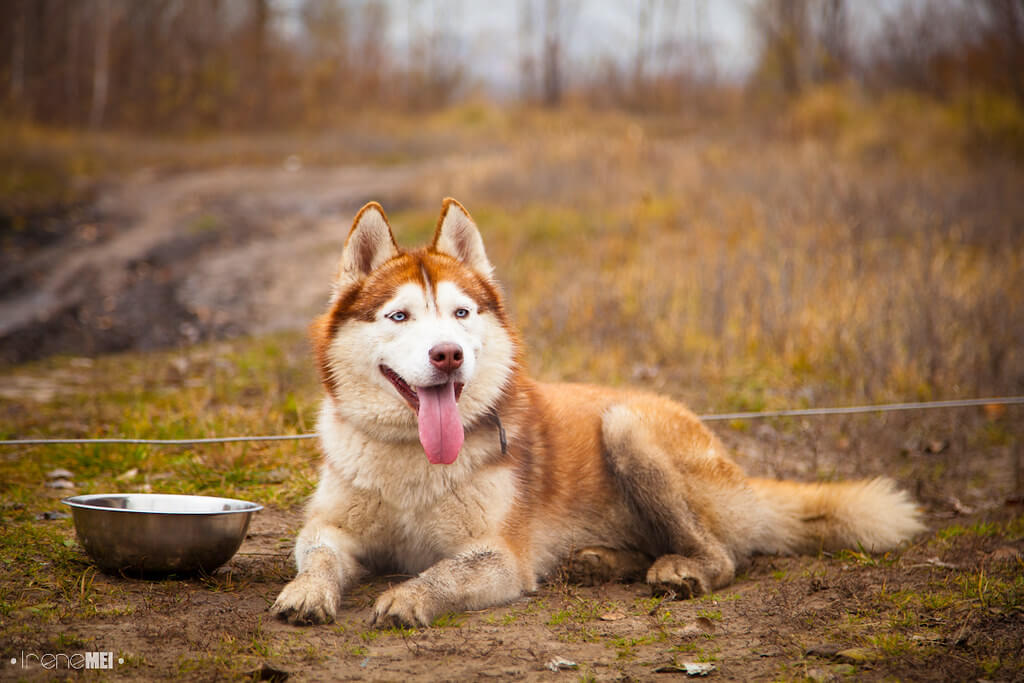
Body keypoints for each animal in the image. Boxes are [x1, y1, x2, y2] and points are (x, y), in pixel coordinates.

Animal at [268, 194, 925, 626]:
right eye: (399, 316)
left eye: (460, 313)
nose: (448, 355)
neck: (411, 460)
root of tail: (740, 471)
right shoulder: (330, 526)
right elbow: (318, 556)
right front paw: (308, 593)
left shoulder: (500, 557)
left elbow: (442, 572)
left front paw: (408, 596)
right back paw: (599, 561)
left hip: (625, 425)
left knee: (722, 556)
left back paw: (681, 569)